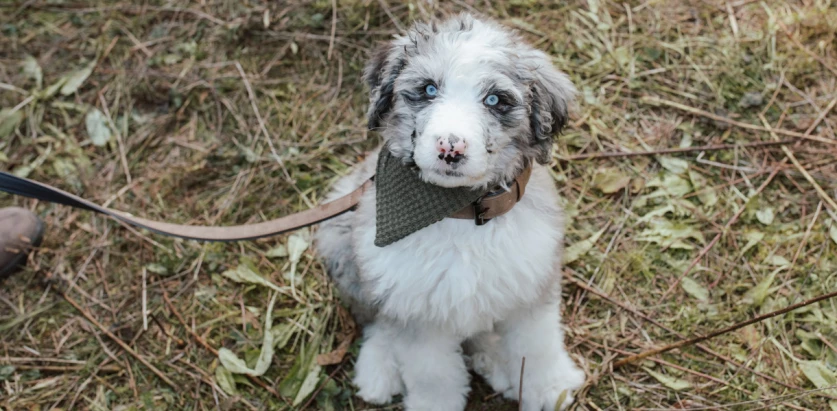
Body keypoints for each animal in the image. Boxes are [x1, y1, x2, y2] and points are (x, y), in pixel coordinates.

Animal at [314, 12, 580, 411]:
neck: (460, 212)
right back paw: (379, 369)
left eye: (495, 99)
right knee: (376, 320)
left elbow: (537, 346)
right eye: (428, 90)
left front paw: (550, 388)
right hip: (341, 242)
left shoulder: (531, 286)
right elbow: (433, 375)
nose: (449, 149)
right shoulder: (414, 310)